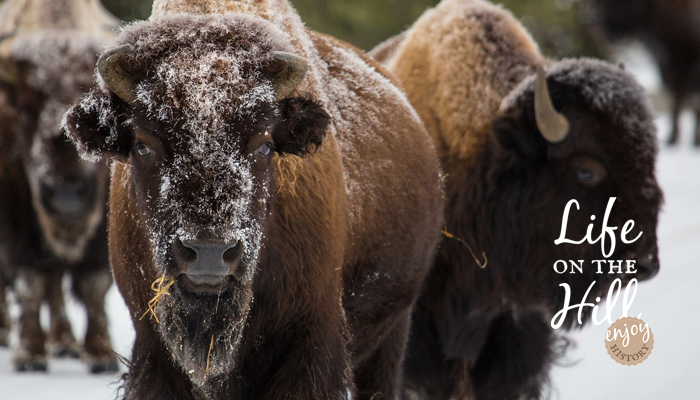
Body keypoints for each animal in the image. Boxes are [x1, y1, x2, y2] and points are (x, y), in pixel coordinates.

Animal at [0, 0, 120, 372]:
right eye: (25, 105)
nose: (66, 196)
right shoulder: (15, 212)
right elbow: (30, 281)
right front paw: (29, 354)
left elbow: (94, 283)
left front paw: (101, 354)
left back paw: (65, 342)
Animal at [63, 0, 440, 398]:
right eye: (143, 146)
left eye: (263, 146)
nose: (209, 253)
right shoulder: (154, 352)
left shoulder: (310, 342)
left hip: (392, 332)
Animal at [588, 0, 700, 147]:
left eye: (627, 3)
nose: (597, 20)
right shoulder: (669, 64)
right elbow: (676, 98)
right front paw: (672, 138)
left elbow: (689, 100)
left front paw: (691, 139)